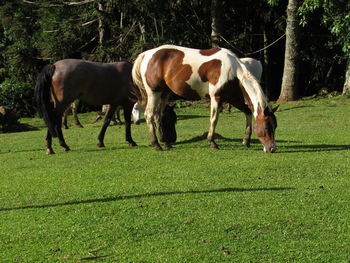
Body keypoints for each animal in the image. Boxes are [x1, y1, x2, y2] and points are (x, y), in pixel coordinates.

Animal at [133, 44, 278, 153]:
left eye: (275, 126)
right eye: (266, 128)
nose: (272, 148)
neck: (232, 70)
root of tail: (147, 54)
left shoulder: (234, 98)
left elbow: (247, 112)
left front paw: (246, 140)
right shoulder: (216, 97)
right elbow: (214, 119)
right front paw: (212, 142)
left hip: (164, 94)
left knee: (158, 115)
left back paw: (166, 143)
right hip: (154, 93)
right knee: (149, 115)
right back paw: (156, 144)